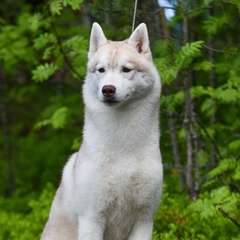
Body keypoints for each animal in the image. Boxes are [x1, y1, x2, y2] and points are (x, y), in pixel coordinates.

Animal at [40, 23, 162, 240]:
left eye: (126, 69)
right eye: (101, 70)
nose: (108, 89)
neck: (124, 147)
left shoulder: (144, 220)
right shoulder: (92, 218)